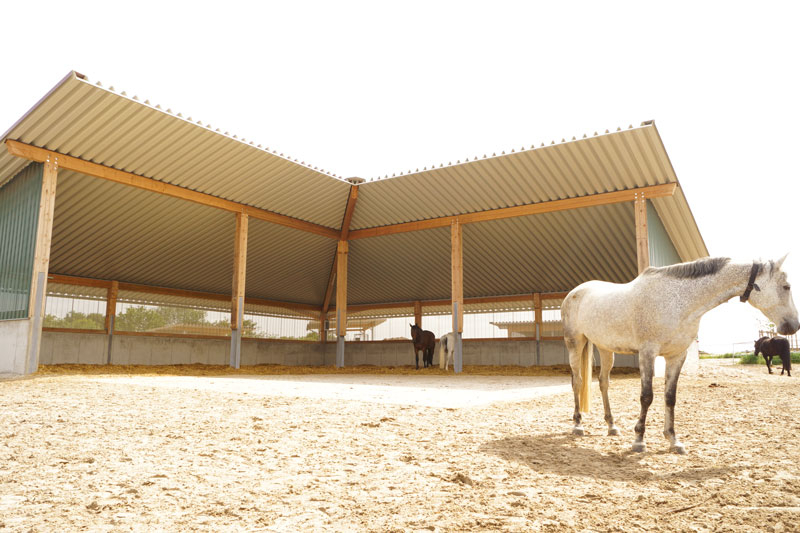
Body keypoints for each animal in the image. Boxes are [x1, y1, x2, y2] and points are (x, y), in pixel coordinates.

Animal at [564, 256, 800, 454]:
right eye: (786, 286)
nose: (794, 326)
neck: (679, 301)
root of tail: (574, 292)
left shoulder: (676, 356)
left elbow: (670, 397)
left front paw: (673, 440)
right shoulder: (647, 353)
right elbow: (646, 396)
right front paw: (639, 440)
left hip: (605, 348)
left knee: (604, 383)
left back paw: (612, 426)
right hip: (575, 343)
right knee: (578, 381)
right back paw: (578, 425)